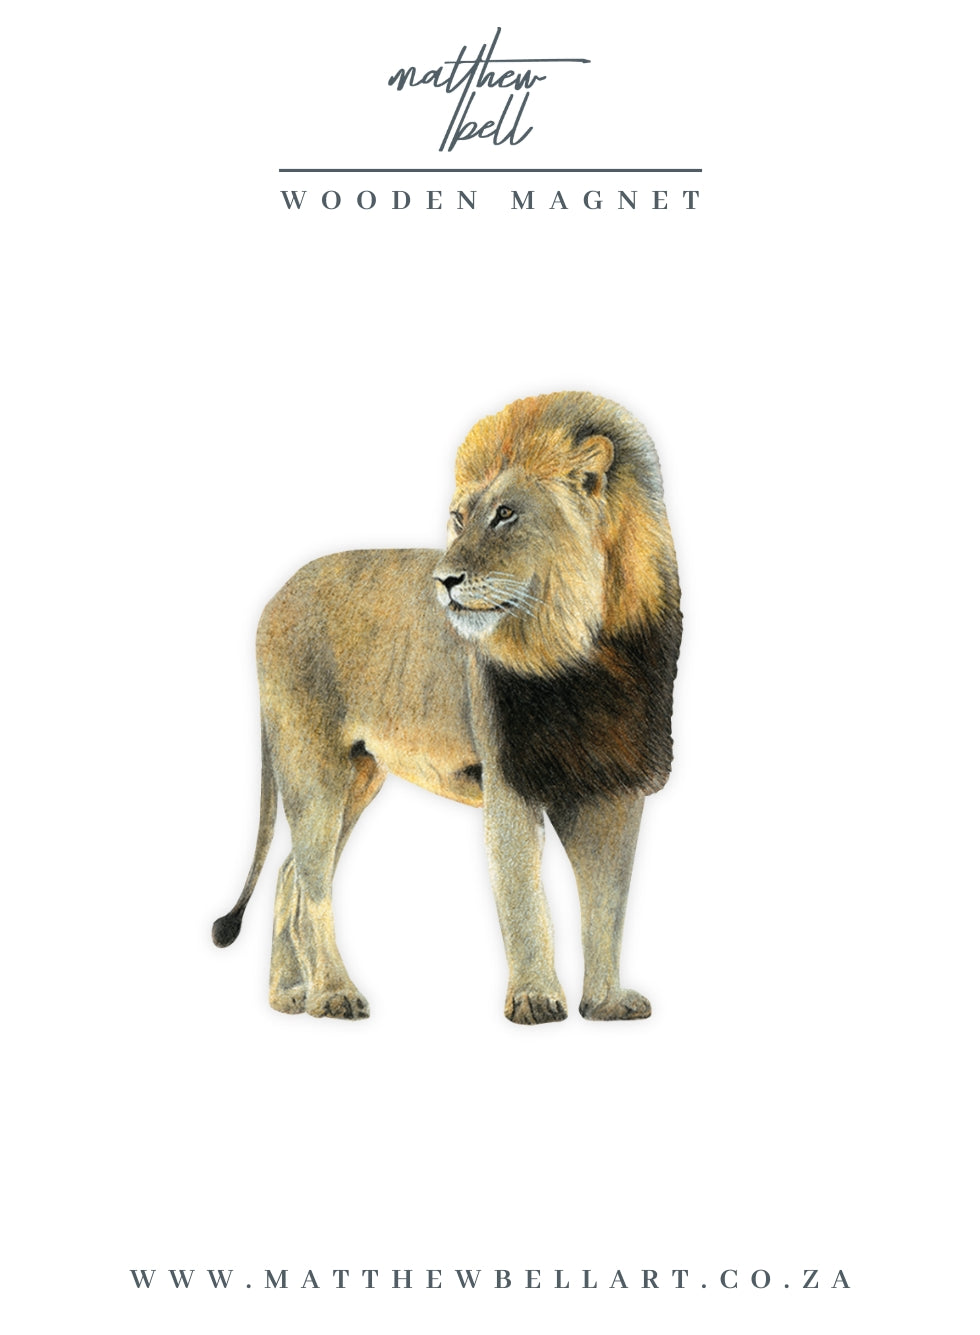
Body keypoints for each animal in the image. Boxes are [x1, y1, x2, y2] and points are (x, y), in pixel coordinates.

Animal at [212, 391, 681, 1023]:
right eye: (459, 518)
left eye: (505, 514)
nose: (445, 580)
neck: (590, 647)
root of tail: (274, 596)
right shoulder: (509, 776)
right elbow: (522, 894)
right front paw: (535, 999)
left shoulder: (612, 787)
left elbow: (608, 904)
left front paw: (605, 1003)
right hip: (312, 765)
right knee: (311, 880)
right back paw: (332, 992)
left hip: (360, 774)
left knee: (290, 873)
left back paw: (288, 995)